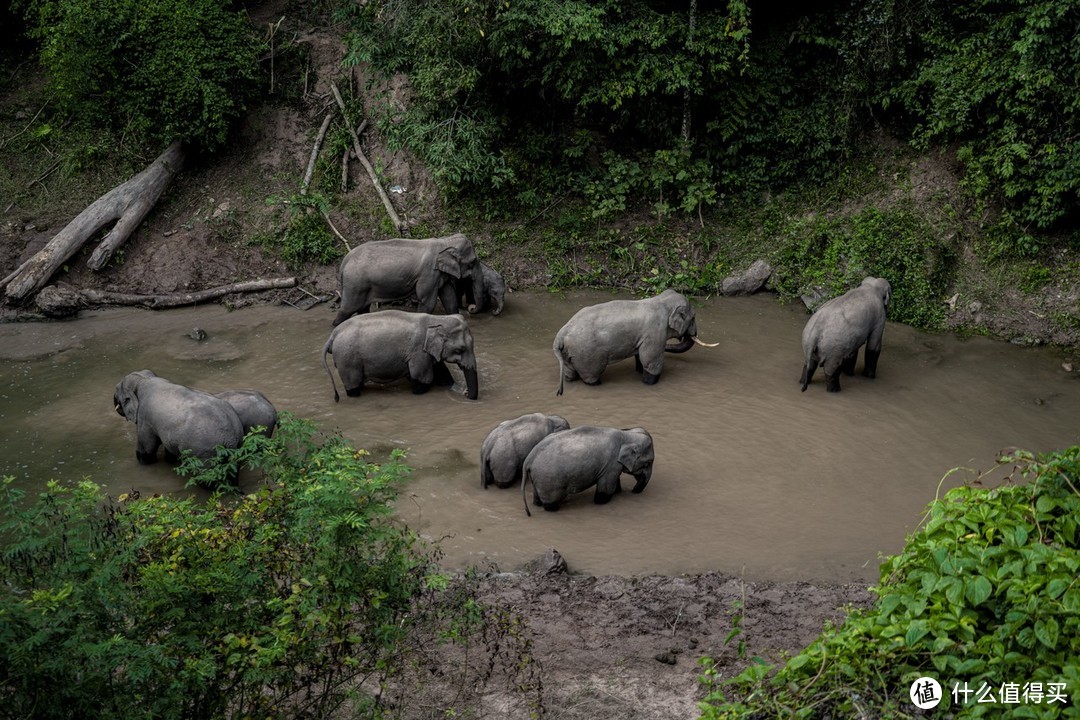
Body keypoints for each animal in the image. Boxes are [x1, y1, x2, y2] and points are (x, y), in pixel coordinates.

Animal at [114, 369, 245, 464]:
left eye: (117, 388)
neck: (143, 378)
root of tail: (231, 438)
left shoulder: (144, 418)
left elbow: (147, 447)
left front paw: (144, 462)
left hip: (205, 452)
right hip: (236, 446)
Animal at [319, 308, 481, 403]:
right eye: (460, 350)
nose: (466, 393)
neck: (437, 319)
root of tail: (333, 336)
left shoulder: (427, 351)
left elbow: (441, 374)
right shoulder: (418, 352)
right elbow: (422, 380)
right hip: (347, 360)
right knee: (353, 387)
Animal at [328, 235, 481, 325]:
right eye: (473, 262)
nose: (471, 308)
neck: (444, 241)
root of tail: (345, 260)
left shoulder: (440, 274)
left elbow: (449, 298)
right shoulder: (428, 273)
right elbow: (427, 302)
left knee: (362, 309)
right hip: (355, 283)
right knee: (347, 309)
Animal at [520, 425, 652, 515]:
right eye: (648, 463)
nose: (633, 492)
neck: (625, 434)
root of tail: (528, 460)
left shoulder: (611, 466)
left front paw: (618, 492)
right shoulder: (611, 465)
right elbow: (606, 488)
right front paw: (601, 502)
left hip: (538, 478)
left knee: (537, 498)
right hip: (549, 481)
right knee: (551, 504)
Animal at [552, 289, 712, 397]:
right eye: (693, 317)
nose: (692, 333)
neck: (661, 300)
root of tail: (561, 334)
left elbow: (641, 357)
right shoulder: (654, 333)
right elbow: (650, 361)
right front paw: (648, 383)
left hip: (570, 353)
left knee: (570, 374)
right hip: (587, 355)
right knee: (591, 377)